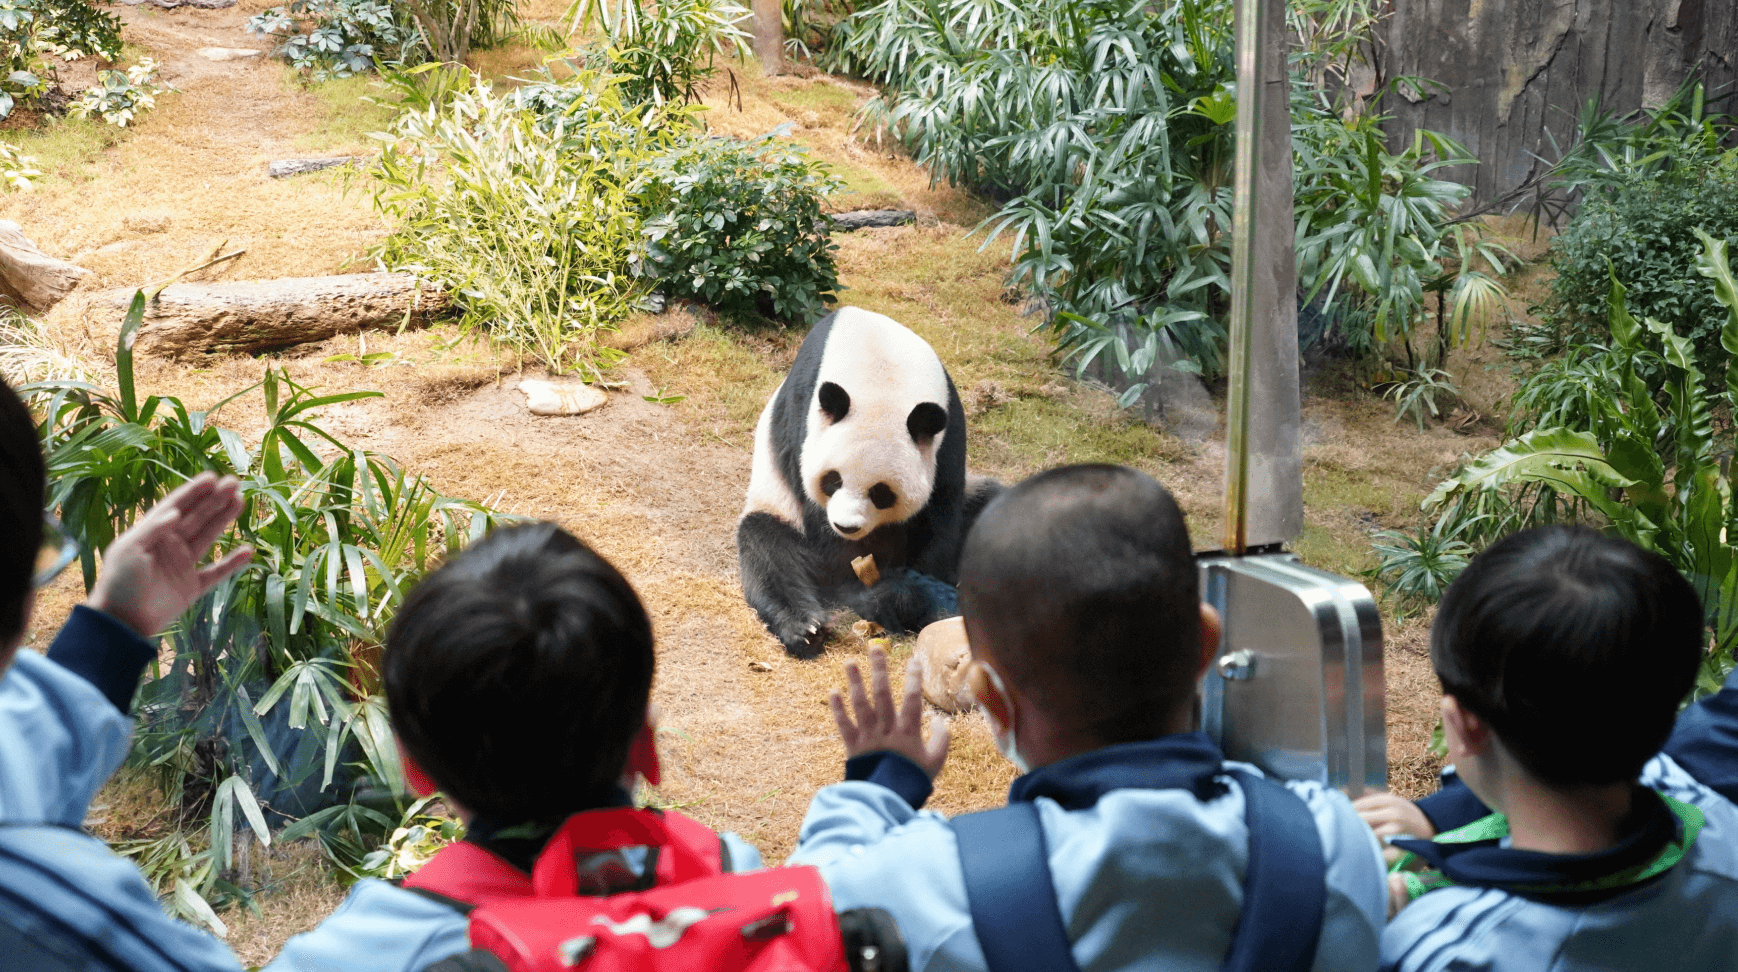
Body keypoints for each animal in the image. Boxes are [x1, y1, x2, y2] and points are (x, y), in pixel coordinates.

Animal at [737, 306, 1001, 658]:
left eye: (881, 493)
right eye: (832, 480)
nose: (847, 527)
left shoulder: (948, 437)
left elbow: (938, 517)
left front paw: (920, 595)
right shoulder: (802, 420)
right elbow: (822, 537)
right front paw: (878, 593)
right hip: (773, 501)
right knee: (768, 551)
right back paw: (806, 629)